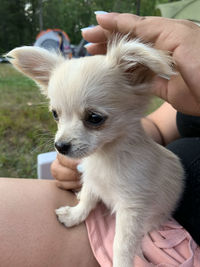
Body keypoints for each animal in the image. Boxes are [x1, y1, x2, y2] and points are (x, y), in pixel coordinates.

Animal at [7, 36, 184, 267]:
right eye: (55, 114)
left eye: (94, 118)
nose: (60, 146)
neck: (105, 157)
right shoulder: (92, 181)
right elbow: (87, 200)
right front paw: (74, 215)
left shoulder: (132, 207)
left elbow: (122, 244)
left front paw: (122, 262)